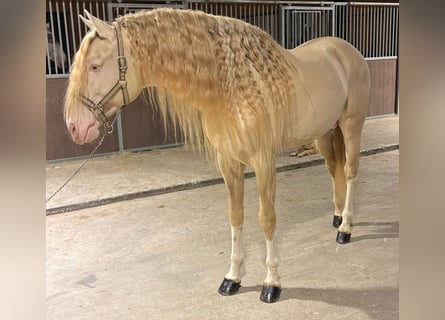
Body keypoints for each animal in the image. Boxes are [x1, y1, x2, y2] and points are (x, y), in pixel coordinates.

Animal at [63, 7, 368, 302]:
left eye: (94, 66)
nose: (76, 127)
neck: (233, 87)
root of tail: (346, 50)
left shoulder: (264, 162)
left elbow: (266, 219)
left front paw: (271, 283)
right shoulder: (228, 163)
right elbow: (235, 217)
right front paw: (232, 278)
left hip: (351, 126)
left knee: (350, 172)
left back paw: (345, 229)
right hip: (324, 134)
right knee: (334, 170)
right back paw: (337, 217)